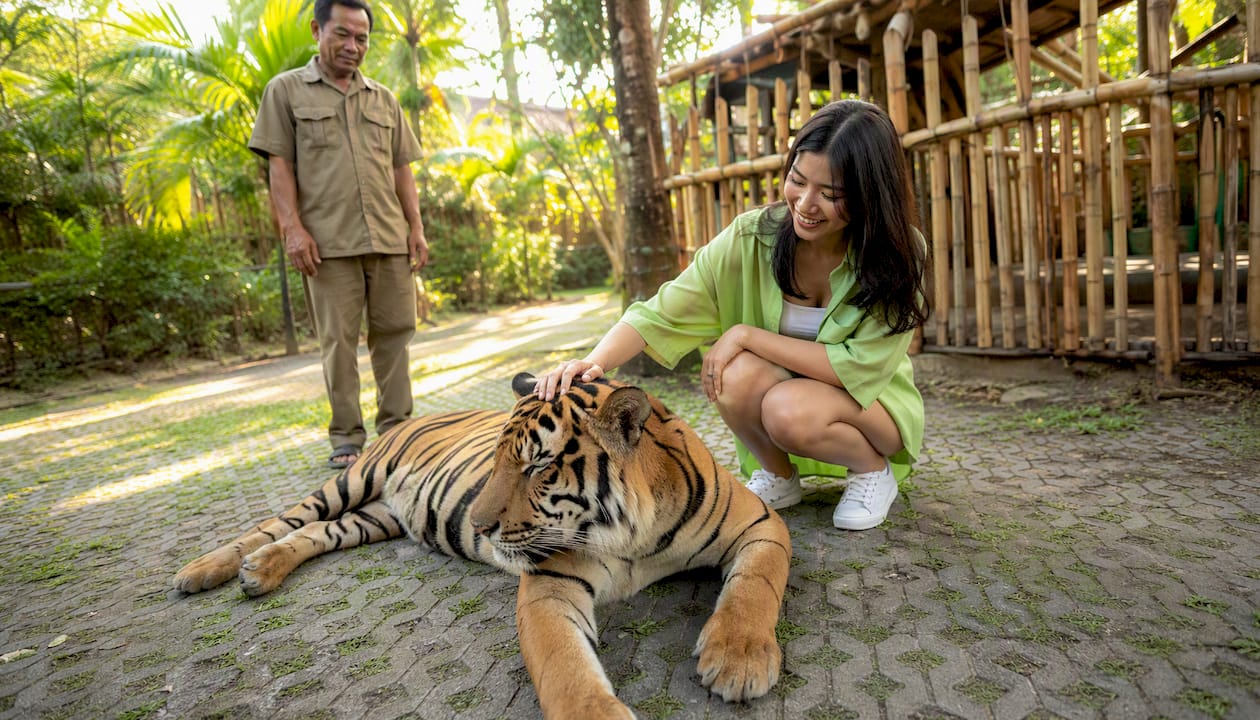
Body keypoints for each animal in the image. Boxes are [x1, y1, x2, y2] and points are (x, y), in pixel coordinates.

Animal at [173, 373, 792, 719]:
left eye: (538, 466)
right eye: (496, 461)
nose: (479, 522)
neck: (637, 537)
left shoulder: (760, 524)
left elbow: (755, 586)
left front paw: (737, 659)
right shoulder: (550, 584)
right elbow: (566, 667)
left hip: (376, 518)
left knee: (315, 533)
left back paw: (260, 571)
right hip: (352, 481)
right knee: (277, 522)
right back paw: (206, 570)